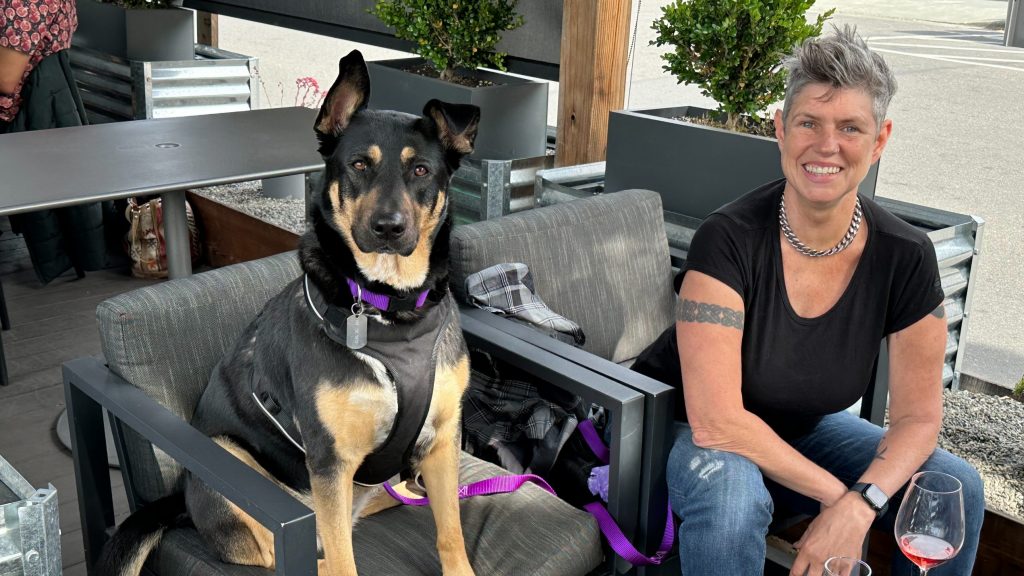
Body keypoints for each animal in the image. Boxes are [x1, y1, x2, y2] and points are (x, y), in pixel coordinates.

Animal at [96, 50, 479, 573]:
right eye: (359, 164)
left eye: (421, 171)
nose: (389, 228)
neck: (386, 307)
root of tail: (181, 502)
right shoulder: (330, 462)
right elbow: (343, 562)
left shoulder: (441, 441)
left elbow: (451, 534)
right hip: (235, 458)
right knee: (297, 556)